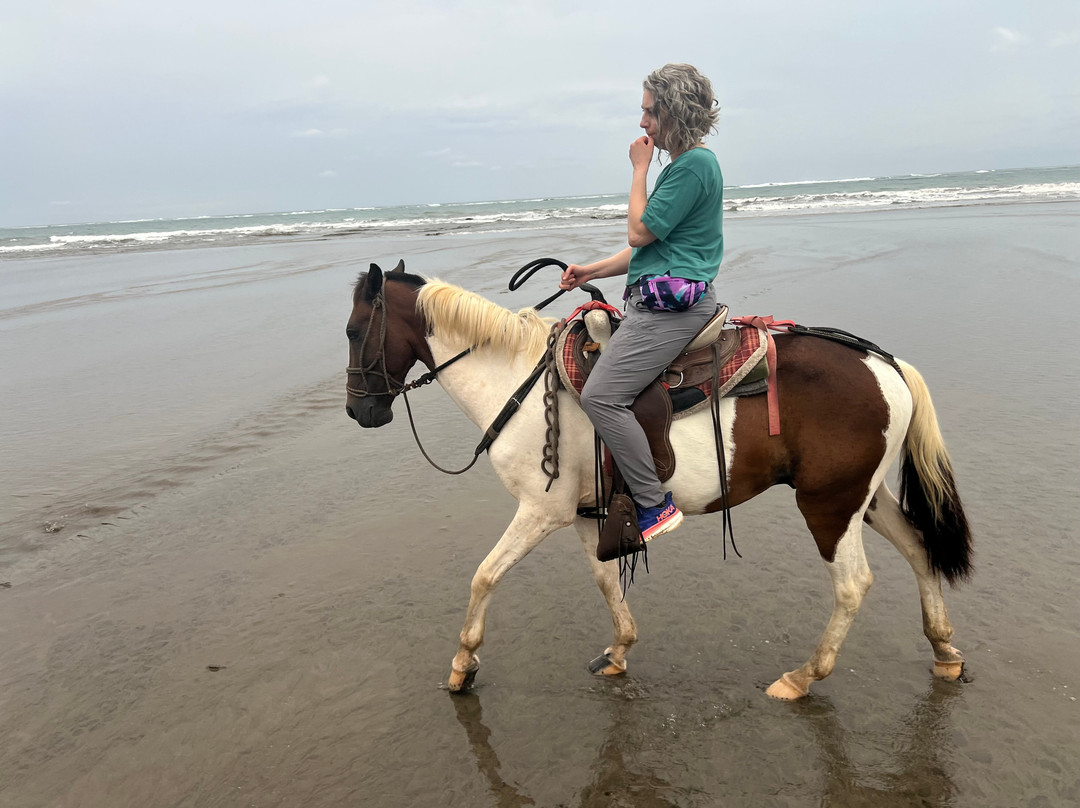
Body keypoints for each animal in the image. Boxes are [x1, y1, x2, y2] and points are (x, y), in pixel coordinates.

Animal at [344, 260, 972, 699]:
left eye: (353, 331)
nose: (359, 411)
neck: (518, 377)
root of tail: (885, 364)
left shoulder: (541, 511)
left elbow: (483, 576)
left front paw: (462, 665)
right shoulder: (584, 513)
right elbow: (605, 581)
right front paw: (619, 650)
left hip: (829, 505)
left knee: (852, 585)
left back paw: (802, 677)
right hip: (865, 497)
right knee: (919, 548)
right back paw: (944, 650)